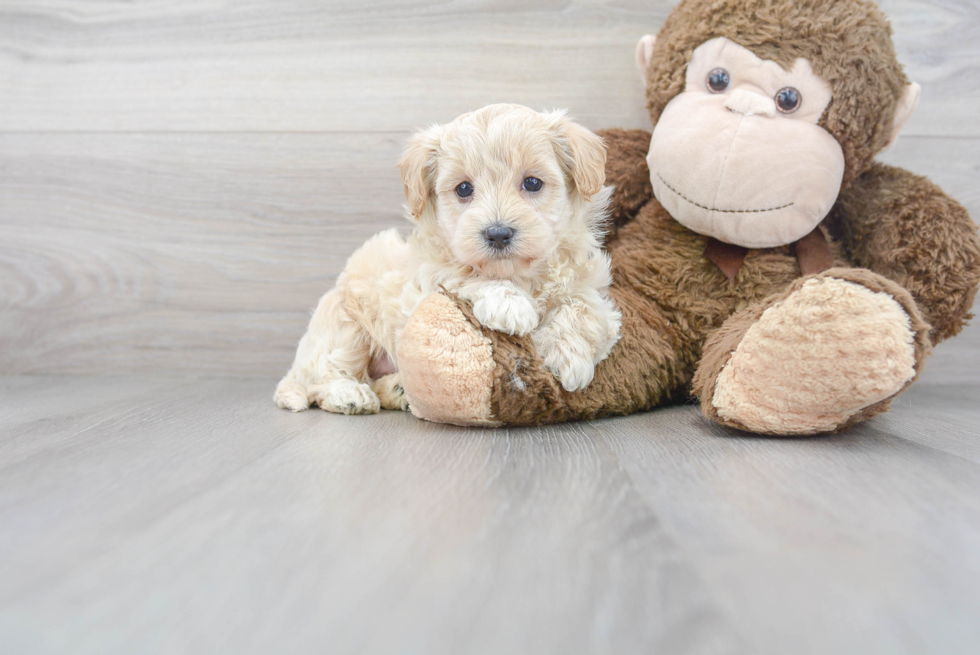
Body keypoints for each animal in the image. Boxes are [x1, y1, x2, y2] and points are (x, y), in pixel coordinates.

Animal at [274, 105, 620, 418]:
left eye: (533, 183)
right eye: (464, 188)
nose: (498, 233)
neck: (519, 273)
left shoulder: (590, 285)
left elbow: (587, 310)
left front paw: (569, 355)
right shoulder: (427, 281)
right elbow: (462, 276)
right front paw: (508, 304)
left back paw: (398, 389)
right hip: (344, 324)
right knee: (325, 376)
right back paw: (349, 395)